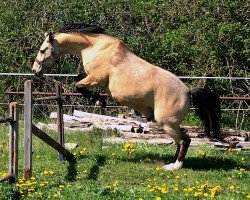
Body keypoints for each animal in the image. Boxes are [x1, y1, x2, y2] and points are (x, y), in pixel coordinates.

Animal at [31, 22, 221, 171]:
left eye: (42, 50)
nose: (35, 71)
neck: (94, 48)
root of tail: (188, 92)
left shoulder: (96, 78)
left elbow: (78, 85)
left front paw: (99, 101)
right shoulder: (93, 78)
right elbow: (78, 79)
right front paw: (98, 100)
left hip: (167, 123)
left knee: (184, 140)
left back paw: (174, 166)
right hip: (170, 125)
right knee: (181, 141)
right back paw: (172, 162)